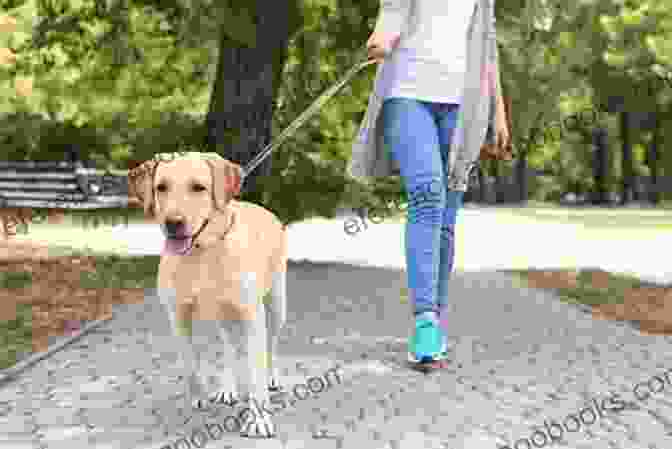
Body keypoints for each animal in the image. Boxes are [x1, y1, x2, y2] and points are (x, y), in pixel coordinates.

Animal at [128, 152, 286, 436]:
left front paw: (258, 419)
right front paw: (199, 397)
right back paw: (227, 388)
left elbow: (256, 371)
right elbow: (190, 363)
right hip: (222, 316)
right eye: (161, 187)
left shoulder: (252, 316)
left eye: (198, 187)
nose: (173, 223)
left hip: (277, 305)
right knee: (228, 348)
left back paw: (273, 377)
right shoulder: (177, 315)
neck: (202, 252)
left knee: (272, 346)